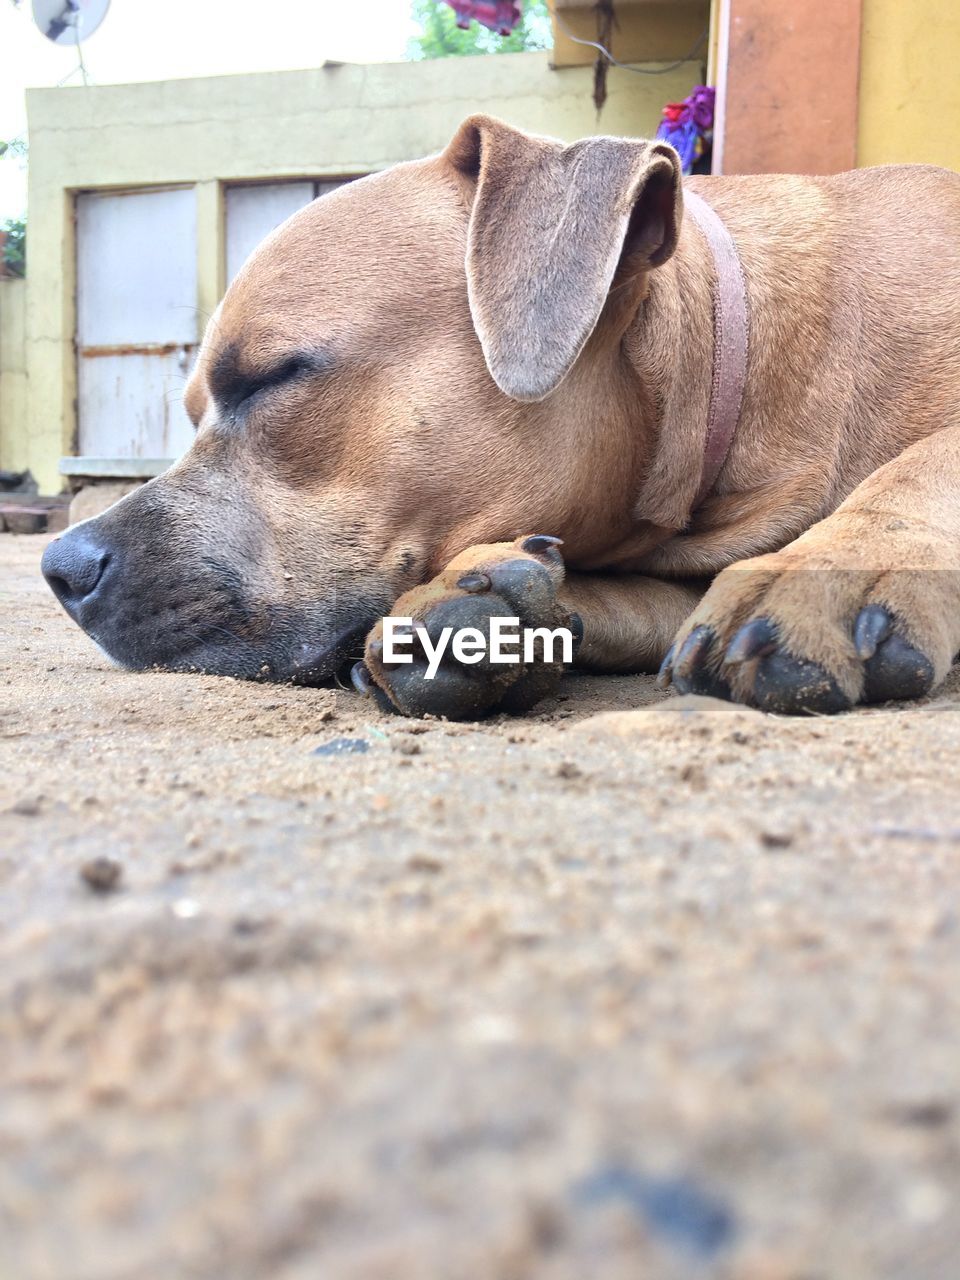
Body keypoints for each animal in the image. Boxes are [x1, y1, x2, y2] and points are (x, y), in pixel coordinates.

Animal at [41, 117, 960, 721]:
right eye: (192, 408)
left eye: (272, 377)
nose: (60, 566)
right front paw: (484, 603)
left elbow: (928, 459)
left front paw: (834, 565)